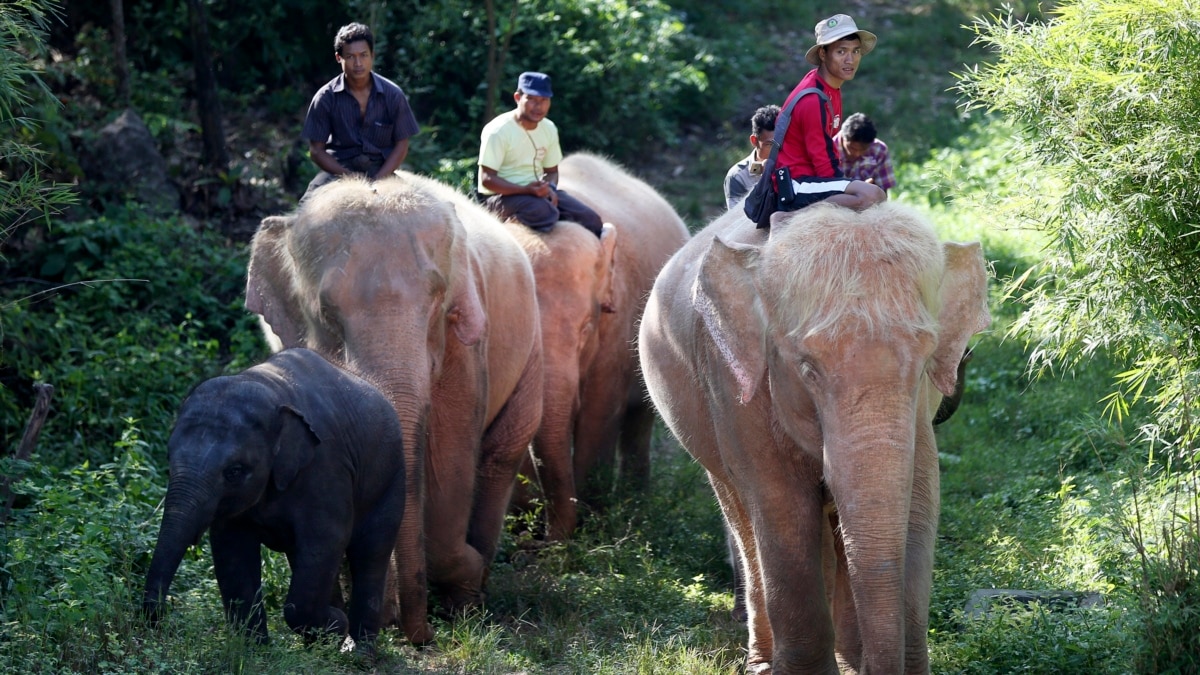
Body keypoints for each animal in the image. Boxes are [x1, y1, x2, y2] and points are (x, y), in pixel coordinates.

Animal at [142, 348, 405, 643]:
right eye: (168, 457)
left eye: (234, 471)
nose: (162, 616)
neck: (271, 389)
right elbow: (232, 550)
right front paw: (255, 647)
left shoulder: (327, 468)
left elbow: (327, 540)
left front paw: (337, 625)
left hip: (391, 478)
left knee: (371, 553)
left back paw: (358, 648)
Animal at [243, 171, 544, 638]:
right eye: (326, 311)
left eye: (438, 298)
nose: (420, 636)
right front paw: (370, 620)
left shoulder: (462, 348)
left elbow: (449, 460)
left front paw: (460, 589)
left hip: (530, 348)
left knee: (500, 453)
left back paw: (472, 594)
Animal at [643, 201, 988, 667]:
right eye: (808, 370)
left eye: (924, 366)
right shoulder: (736, 391)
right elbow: (782, 506)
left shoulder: (919, 416)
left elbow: (920, 504)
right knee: (743, 518)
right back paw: (762, 661)